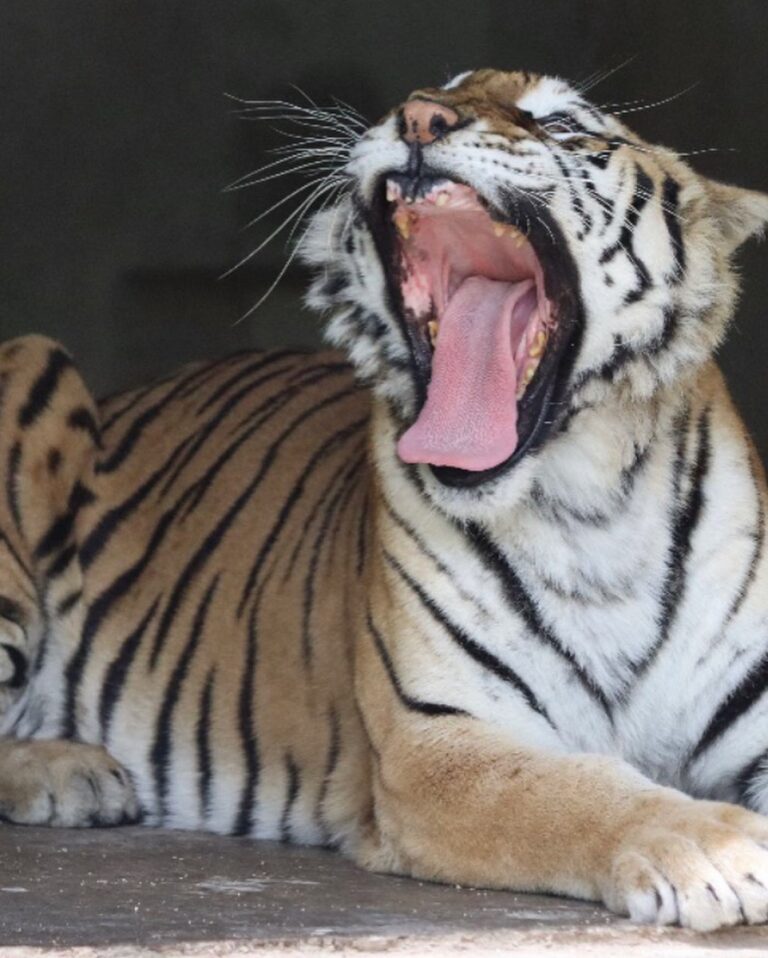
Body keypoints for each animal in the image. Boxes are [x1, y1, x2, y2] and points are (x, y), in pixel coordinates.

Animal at [2, 68, 768, 933]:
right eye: (446, 87)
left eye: (562, 122)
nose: (421, 116)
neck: (590, 506)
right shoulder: (432, 742)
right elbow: (581, 787)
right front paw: (716, 850)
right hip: (35, 359)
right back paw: (70, 773)